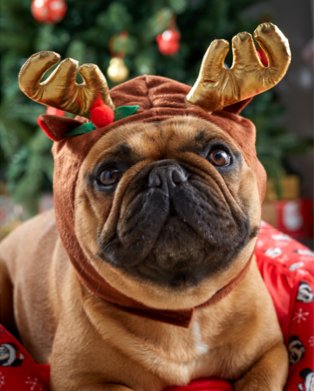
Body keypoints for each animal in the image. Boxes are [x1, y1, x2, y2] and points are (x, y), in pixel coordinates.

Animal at [0, 23, 290, 391]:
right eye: (109, 175)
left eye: (220, 156)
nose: (166, 174)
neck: (184, 308)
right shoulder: (79, 379)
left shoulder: (270, 354)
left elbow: (259, 381)